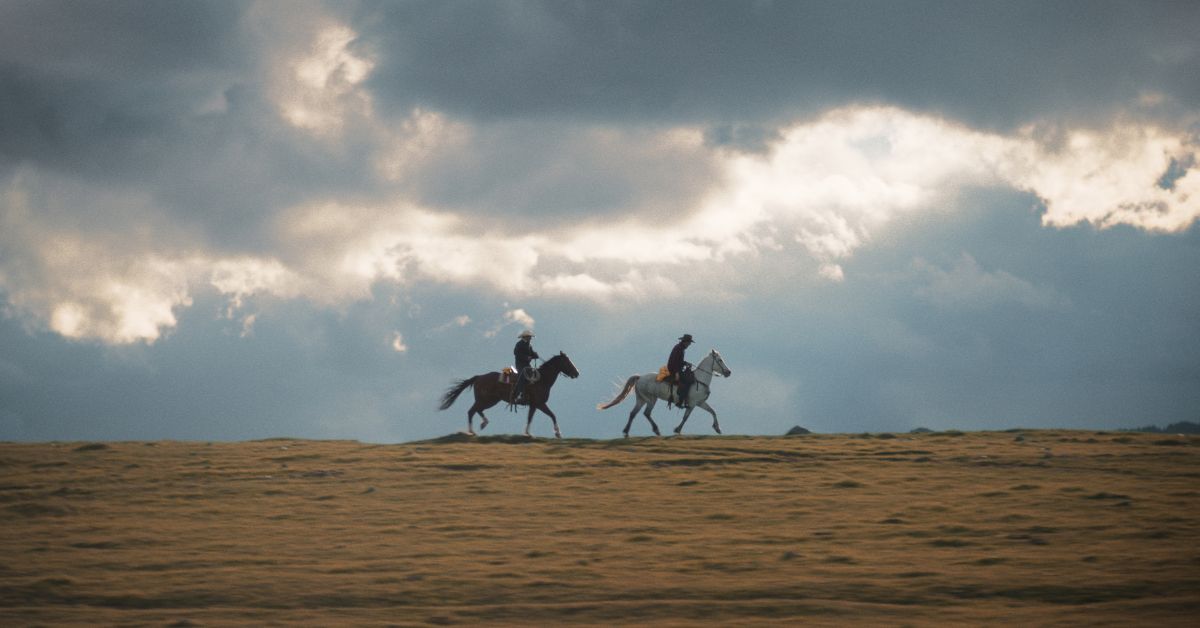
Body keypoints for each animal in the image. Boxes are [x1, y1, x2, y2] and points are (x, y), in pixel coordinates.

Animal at [439, 353, 578, 437]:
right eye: (567, 361)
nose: (577, 373)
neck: (541, 379)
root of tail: (478, 377)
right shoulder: (540, 404)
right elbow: (553, 415)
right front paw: (558, 433)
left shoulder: (534, 405)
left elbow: (530, 418)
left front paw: (527, 433)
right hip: (485, 400)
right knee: (471, 411)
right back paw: (472, 431)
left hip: (491, 400)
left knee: (477, 410)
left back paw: (483, 423)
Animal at [597, 348, 729, 437]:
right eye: (720, 360)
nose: (729, 372)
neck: (700, 380)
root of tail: (640, 378)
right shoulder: (692, 404)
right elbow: (686, 417)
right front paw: (677, 429)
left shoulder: (700, 403)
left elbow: (713, 411)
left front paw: (717, 428)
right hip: (651, 399)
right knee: (646, 413)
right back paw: (656, 430)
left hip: (641, 399)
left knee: (633, 413)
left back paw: (626, 432)